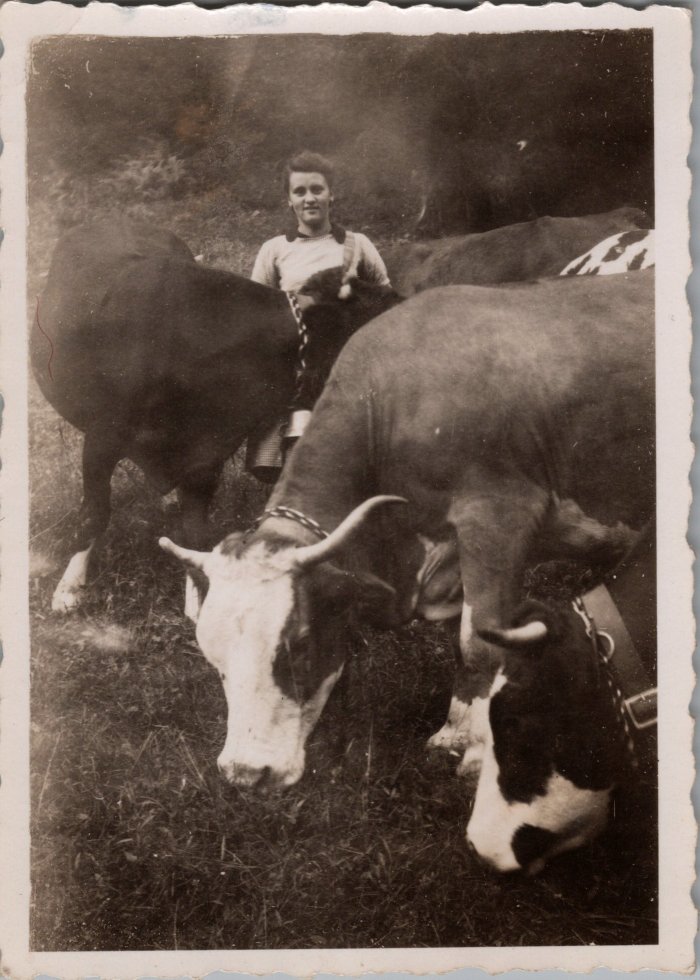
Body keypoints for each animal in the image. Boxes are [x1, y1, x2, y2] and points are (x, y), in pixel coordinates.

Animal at [160, 271, 654, 788]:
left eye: (297, 645)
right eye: (213, 658)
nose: (244, 773)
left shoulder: (498, 517)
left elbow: (479, 642)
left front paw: (478, 752)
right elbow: (461, 643)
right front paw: (455, 731)